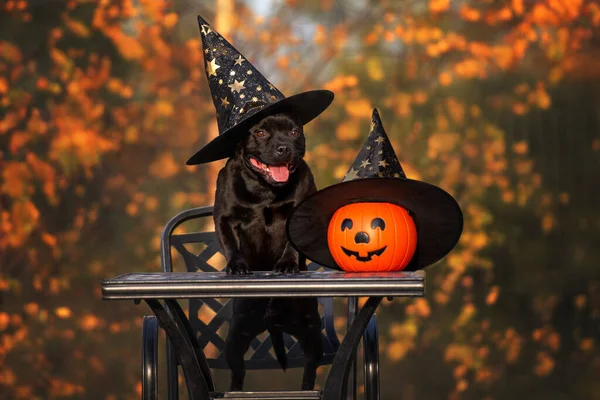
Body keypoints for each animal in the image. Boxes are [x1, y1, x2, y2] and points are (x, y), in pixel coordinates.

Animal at [212, 112, 324, 390]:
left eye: (294, 132)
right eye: (260, 133)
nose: (283, 147)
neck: (265, 189)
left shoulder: (299, 214)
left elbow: (290, 245)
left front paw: (287, 264)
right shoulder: (223, 217)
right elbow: (230, 243)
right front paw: (237, 265)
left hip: (311, 333)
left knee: (310, 366)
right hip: (237, 337)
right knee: (237, 371)